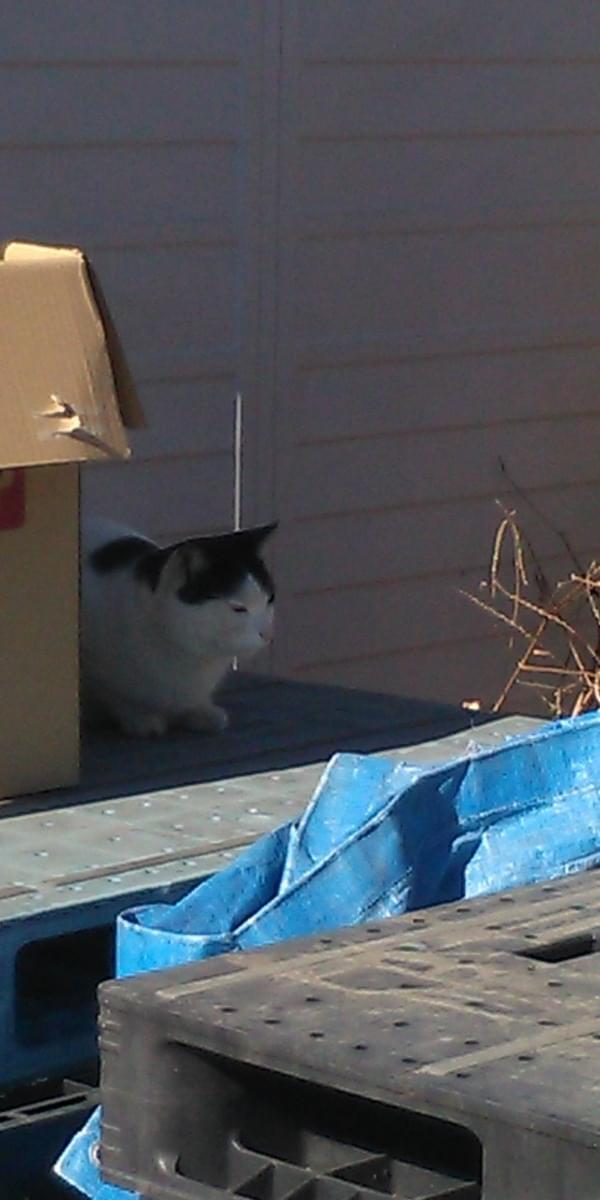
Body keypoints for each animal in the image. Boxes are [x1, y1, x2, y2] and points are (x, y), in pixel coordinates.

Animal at [81, 516, 277, 737]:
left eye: (270, 599)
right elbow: (116, 694)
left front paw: (199, 710)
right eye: (238, 608)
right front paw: (140, 716)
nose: (268, 634)